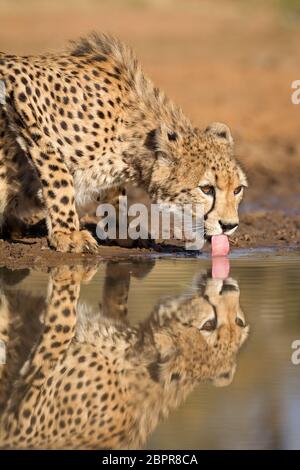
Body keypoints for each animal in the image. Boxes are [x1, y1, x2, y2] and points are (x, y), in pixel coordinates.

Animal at [0, 34, 247, 252]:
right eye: (206, 189)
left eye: (237, 189)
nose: (229, 226)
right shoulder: (19, 82)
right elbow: (60, 177)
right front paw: (67, 234)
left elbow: (115, 194)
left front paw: (123, 231)